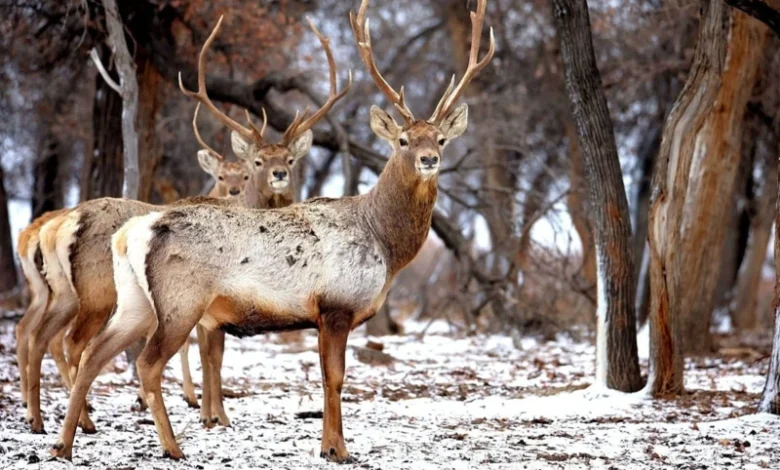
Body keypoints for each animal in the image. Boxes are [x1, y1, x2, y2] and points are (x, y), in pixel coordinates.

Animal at [51, 0, 492, 462]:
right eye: (403, 140)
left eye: (441, 139)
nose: (429, 160)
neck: (385, 245)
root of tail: (132, 233)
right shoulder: (336, 305)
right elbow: (335, 378)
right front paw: (338, 449)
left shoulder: (323, 314)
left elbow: (325, 377)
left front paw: (326, 446)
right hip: (179, 300)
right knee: (145, 362)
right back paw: (172, 447)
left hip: (134, 300)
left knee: (94, 354)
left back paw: (63, 445)